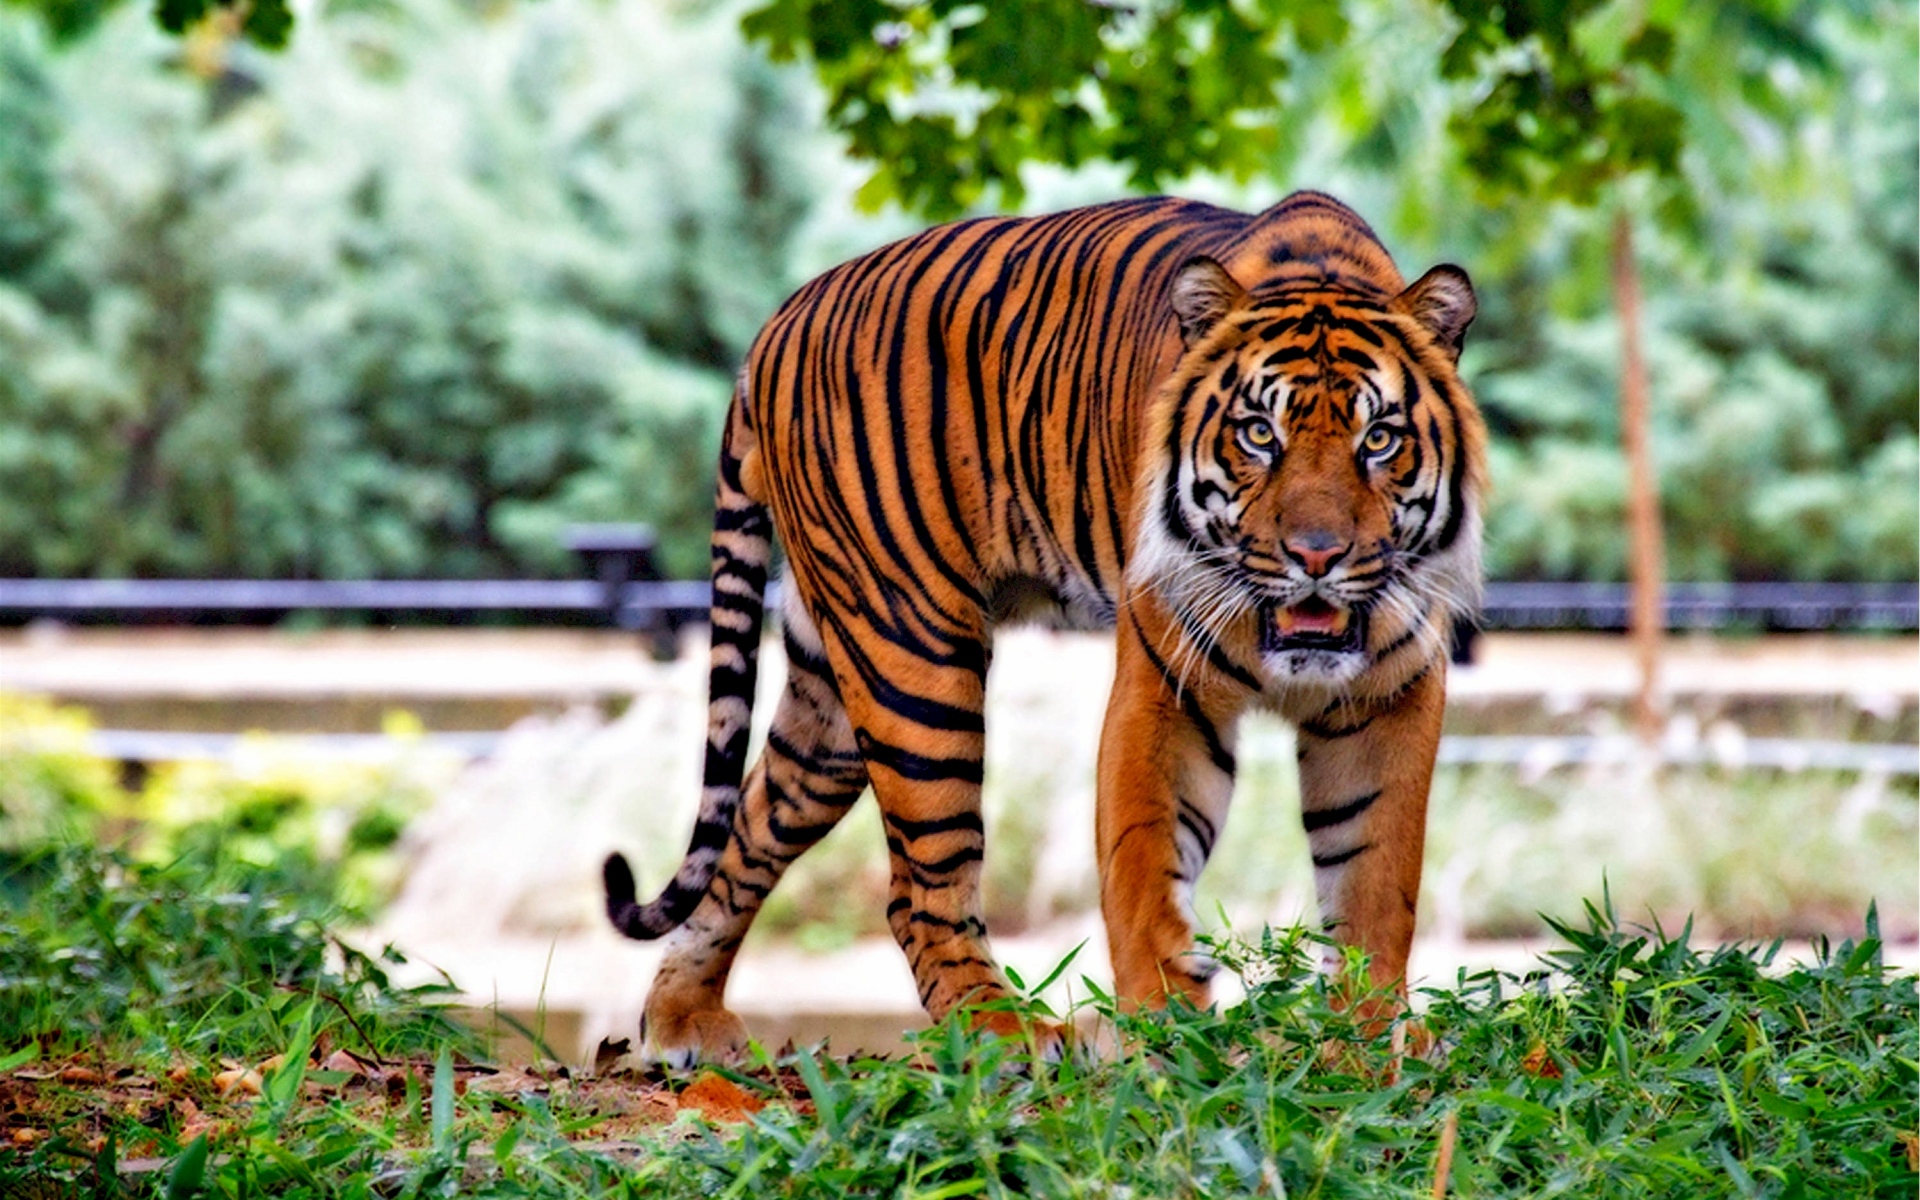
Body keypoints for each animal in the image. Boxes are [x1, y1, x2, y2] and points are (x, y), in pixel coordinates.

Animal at [603, 190, 1486, 1064]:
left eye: (1379, 439)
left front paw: (1363, 1041)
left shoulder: (1391, 696)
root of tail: (777, 322)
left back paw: (682, 1019)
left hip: (831, 699)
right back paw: (1006, 1033)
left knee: (751, 827)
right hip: (913, 658)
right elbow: (1145, 867)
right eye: (1259, 435)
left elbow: (1375, 882)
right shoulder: (1163, 687)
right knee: (918, 889)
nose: (1316, 555)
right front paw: (1169, 1039)